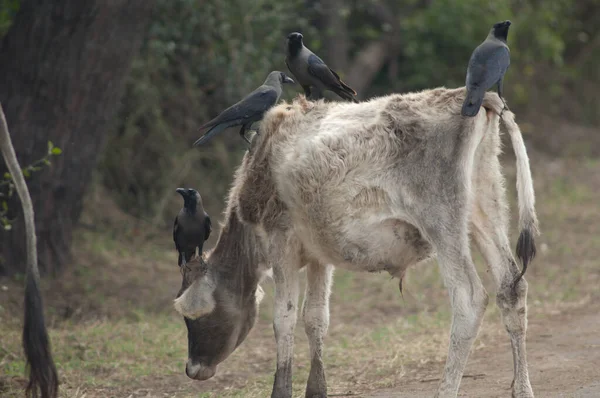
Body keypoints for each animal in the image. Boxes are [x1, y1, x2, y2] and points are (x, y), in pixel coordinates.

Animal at [173, 88, 540, 398]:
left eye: (193, 317)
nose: (192, 369)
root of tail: (465, 94)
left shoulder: (281, 243)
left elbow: (284, 319)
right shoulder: (318, 253)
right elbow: (315, 318)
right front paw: (317, 389)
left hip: (443, 223)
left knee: (469, 298)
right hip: (484, 212)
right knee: (511, 287)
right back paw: (522, 389)